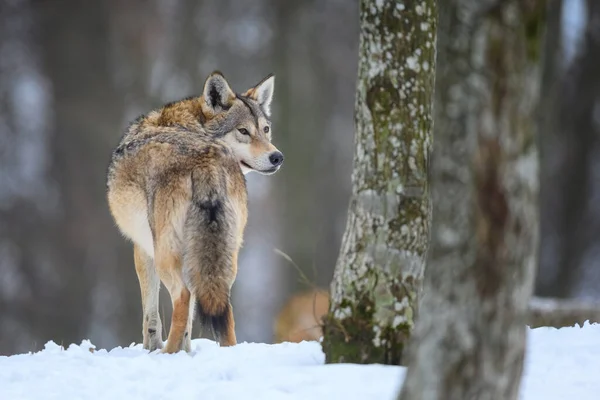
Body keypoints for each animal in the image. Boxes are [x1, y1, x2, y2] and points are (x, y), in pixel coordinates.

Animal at [106, 72, 284, 354]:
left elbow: (150, 315)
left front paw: (153, 349)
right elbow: (190, 321)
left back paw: (167, 354)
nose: (277, 157)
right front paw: (186, 353)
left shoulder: (141, 249)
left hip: (166, 256)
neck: (188, 124)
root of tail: (205, 160)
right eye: (244, 131)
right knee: (222, 306)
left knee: (183, 297)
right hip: (225, 258)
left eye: (265, 130)